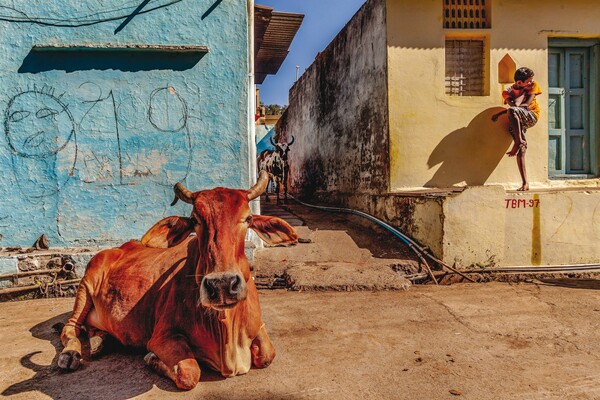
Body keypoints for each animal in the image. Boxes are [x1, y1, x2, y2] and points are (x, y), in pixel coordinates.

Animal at [58, 170, 298, 390]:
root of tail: (119, 248)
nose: (222, 285)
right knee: (71, 327)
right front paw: (151, 358)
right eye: (194, 220)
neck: (226, 330)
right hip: (85, 285)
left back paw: (99, 341)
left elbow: (267, 355)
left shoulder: (258, 327)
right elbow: (189, 373)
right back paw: (70, 355)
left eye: (248, 218)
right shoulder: (162, 336)